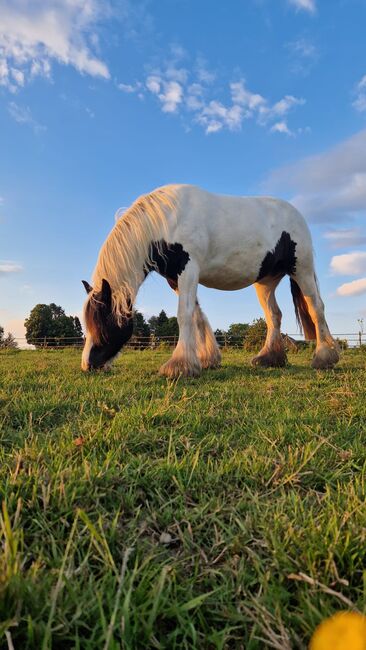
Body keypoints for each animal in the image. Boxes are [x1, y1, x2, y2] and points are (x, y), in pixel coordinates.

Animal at [81, 182, 338, 374]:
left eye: (101, 325)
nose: (88, 365)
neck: (167, 221)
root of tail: (296, 214)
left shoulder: (189, 269)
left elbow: (184, 314)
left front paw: (179, 366)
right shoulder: (176, 279)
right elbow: (197, 315)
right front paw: (207, 359)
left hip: (301, 269)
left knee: (316, 307)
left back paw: (325, 358)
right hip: (266, 282)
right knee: (274, 315)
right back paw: (269, 358)